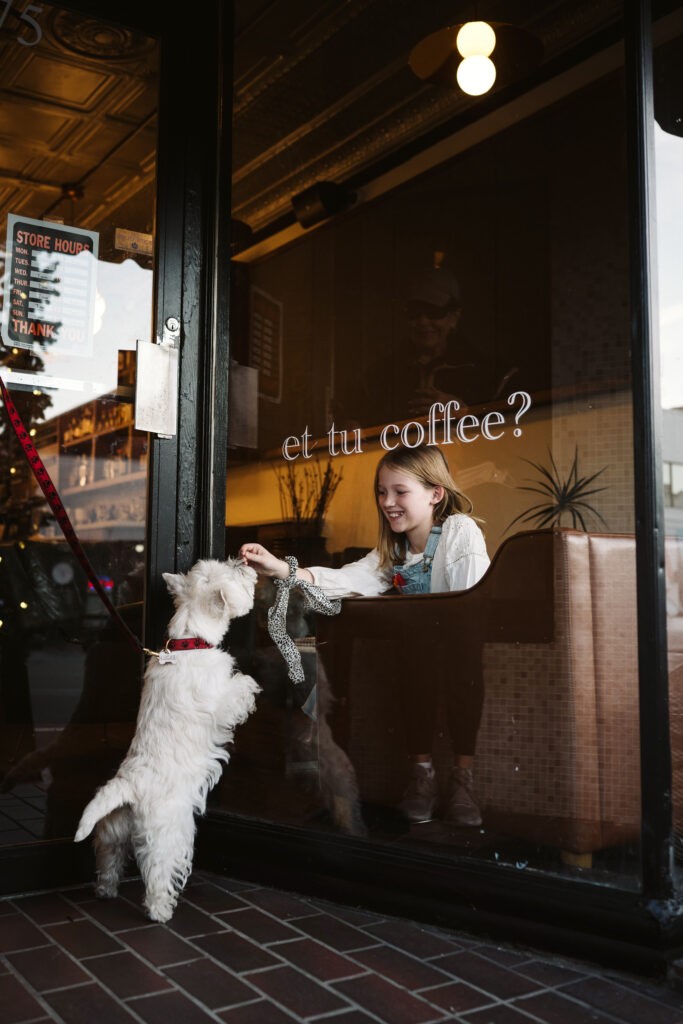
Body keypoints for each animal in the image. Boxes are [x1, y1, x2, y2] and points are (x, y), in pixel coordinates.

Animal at [72, 557, 259, 925]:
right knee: (158, 872)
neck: (190, 642)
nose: (244, 561)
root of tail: (129, 786)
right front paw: (251, 689)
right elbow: (239, 688)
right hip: (168, 832)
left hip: (112, 831)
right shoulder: (219, 702)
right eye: (231, 571)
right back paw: (160, 911)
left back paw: (105, 891)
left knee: (108, 861)